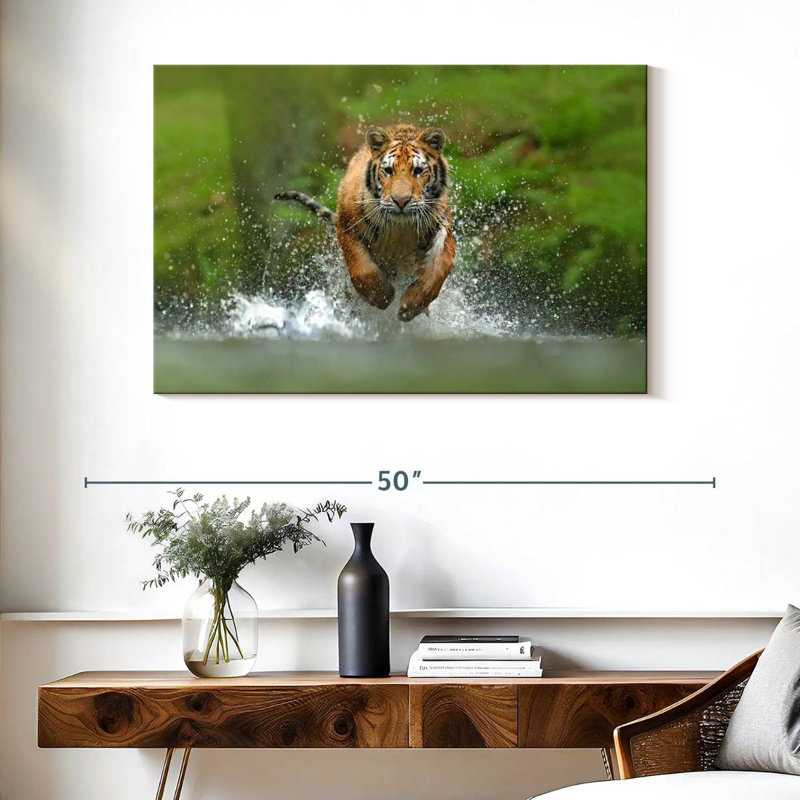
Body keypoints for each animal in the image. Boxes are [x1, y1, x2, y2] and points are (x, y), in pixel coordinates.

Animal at [275, 124, 455, 321]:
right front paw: (383, 297)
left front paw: (411, 306)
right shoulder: (347, 227)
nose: (401, 201)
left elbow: (439, 268)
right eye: (388, 170)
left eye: (418, 171)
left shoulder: (443, 226)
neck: (400, 228)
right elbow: (363, 269)